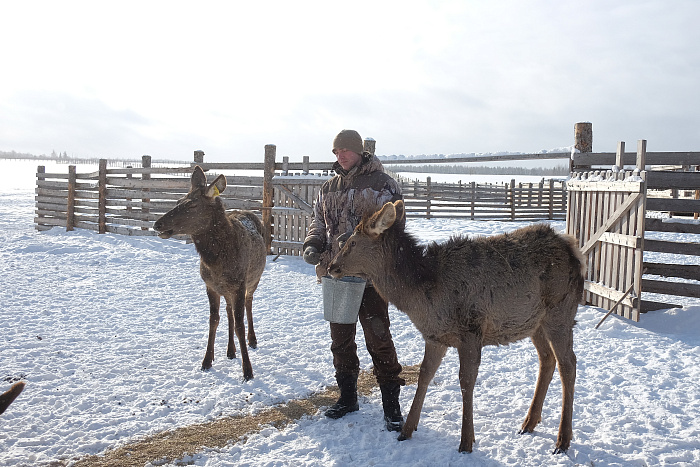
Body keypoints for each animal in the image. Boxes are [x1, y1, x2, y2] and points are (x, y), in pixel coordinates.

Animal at [154, 166, 266, 382]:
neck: (216, 263)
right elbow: (214, 320)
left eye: (192, 205)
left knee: (249, 304)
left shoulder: (239, 285)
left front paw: (248, 371)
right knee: (229, 312)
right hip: (227, 290)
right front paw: (206, 361)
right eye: (178, 201)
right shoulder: (210, 286)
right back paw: (230, 351)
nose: (158, 224)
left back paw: (253, 340)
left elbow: (240, 325)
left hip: (253, 280)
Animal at [328, 200, 584, 454]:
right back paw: (529, 422)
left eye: (352, 242)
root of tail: (574, 250)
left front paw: (466, 442)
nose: (331, 266)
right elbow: (424, 375)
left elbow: (466, 381)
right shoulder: (435, 337)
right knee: (547, 359)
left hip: (560, 313)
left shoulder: (471, 330)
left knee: (568, 364)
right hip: (534, 323)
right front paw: (406, 431)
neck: (424, 298)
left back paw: (563, 439)